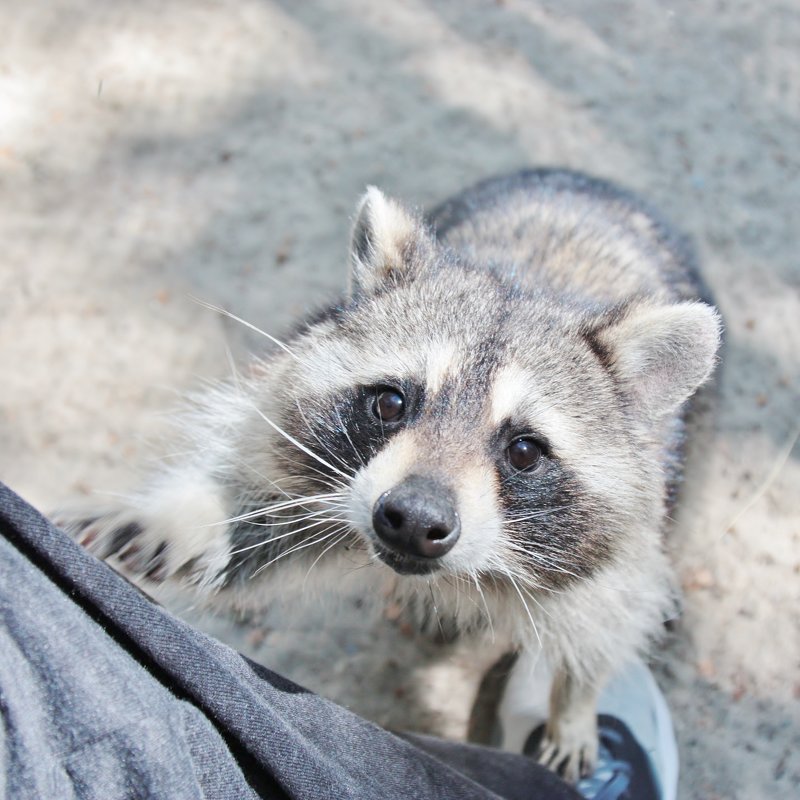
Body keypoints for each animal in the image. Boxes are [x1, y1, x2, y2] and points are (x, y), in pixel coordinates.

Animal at [56, 170, 720, 780]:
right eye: (391, 402)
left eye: (525, 451)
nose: (413, 522)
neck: (528, 283)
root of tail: (586, 179)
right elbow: (260, 504)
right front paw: (189, 514)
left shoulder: (616, 527)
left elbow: (607, 615)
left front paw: (574, 705)